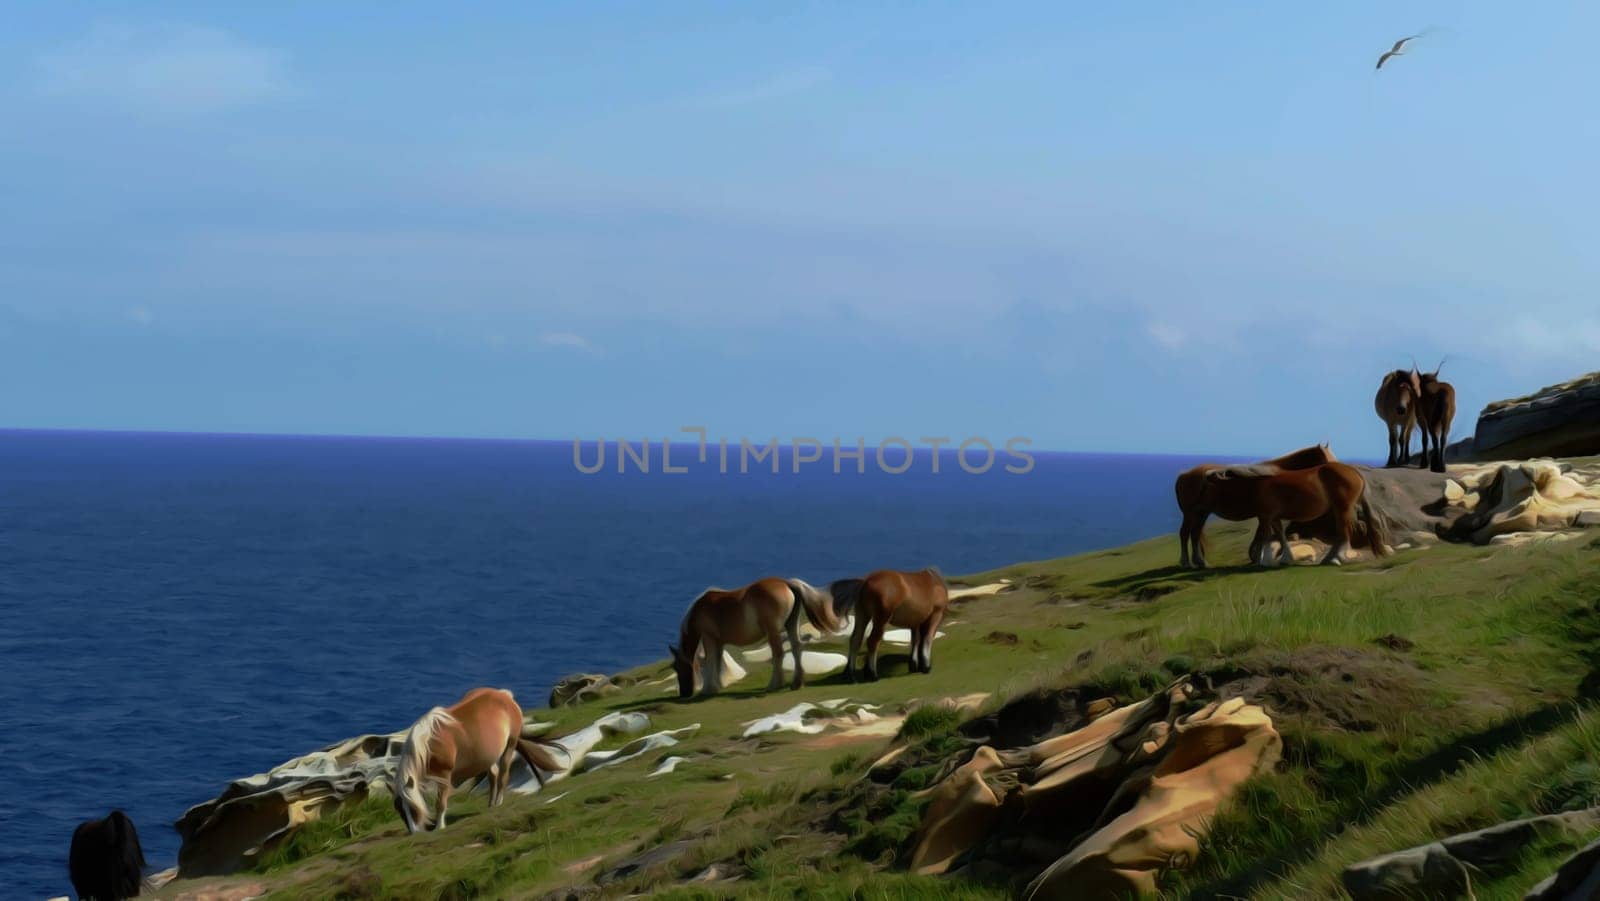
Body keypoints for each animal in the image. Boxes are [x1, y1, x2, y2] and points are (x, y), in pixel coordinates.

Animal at [665, 579, 844, 697]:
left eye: (677, 667)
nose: (684, 693)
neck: (700, 610)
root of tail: (786, 583)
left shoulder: (708, 638)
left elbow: (710, 661)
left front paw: (708, 689)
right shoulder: (719, 641)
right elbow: (717, 661)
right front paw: (720, 684)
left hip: (773, 631)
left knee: (778, 653)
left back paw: (774, 685)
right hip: (791, 624)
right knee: (796, 648)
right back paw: (796, 683)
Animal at [1177, 444, 1337, 569]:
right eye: (1327, 460)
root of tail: (1184, 475)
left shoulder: (1269, 515)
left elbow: (1270, 534)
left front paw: (1261, 558)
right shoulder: (1266, 514)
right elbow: (1265, 535)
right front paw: (1261, 558)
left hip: (1201, 513)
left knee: (1195, 534)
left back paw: (1200, 562)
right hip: (1190, 513)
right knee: (1184, 533)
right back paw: (1186, 563)